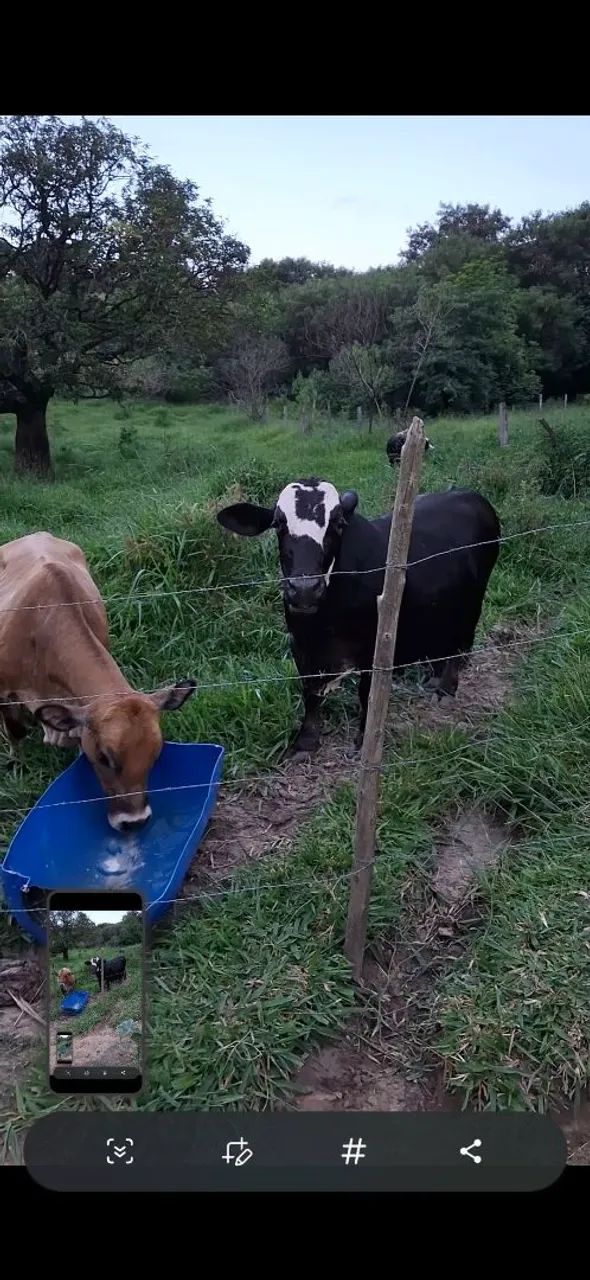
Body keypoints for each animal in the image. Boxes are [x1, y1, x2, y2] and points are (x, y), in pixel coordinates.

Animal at [217, 480, 500, 754]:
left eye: (338, 523)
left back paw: (446, 688)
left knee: (461, 643)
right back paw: (434, 676)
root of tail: (471, 495)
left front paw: (363, 738)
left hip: (474, 602)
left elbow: (367, 694)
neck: (324, 622)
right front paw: (305, 742)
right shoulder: (300, 643)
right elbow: (310, 693)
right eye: (278, 523)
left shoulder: (374, 646)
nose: (305, 588)